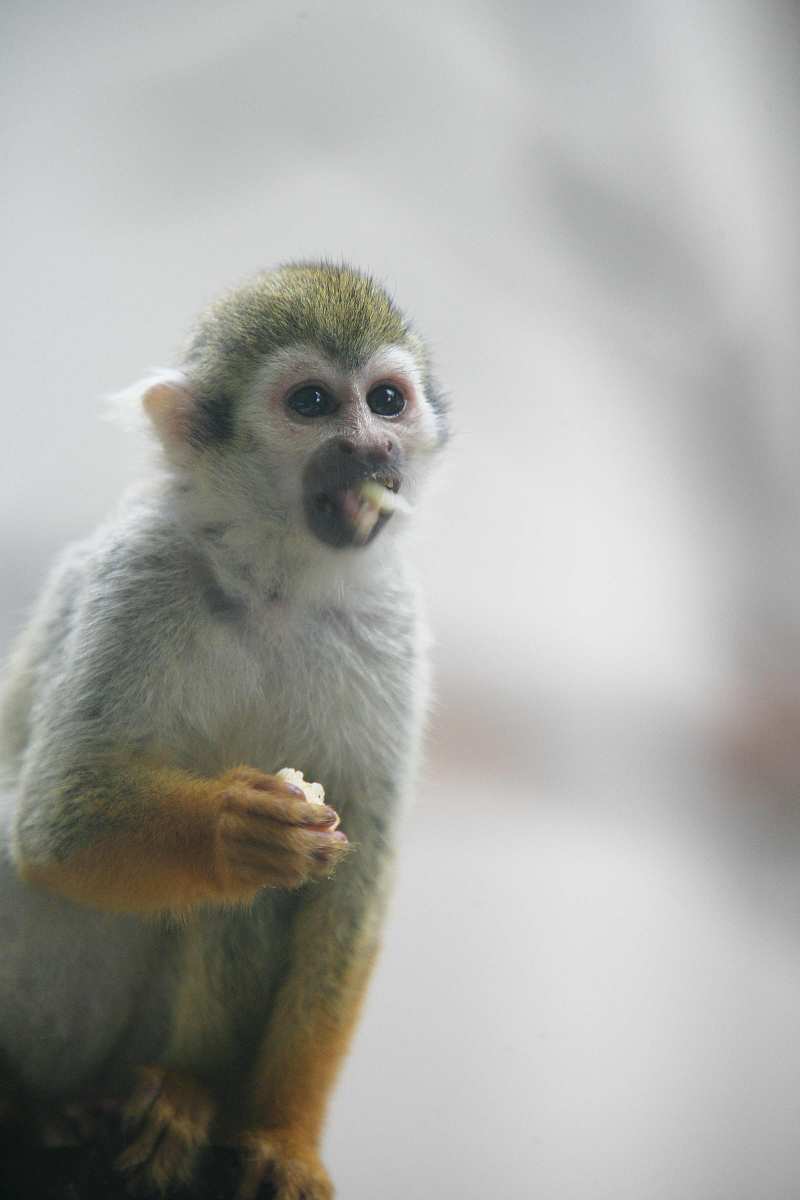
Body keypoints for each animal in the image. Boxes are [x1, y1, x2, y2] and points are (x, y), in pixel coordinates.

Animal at [0, 265, 448, 1200]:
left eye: (386, 401)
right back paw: (46, 1101)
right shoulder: (142, 572)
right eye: (312, 403)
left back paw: (183, 1092)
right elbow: (55, 820)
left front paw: (287, 1135)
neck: (274, 578)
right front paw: (233, 829)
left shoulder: (390, 620)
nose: (372, 451)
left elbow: (350, 888)